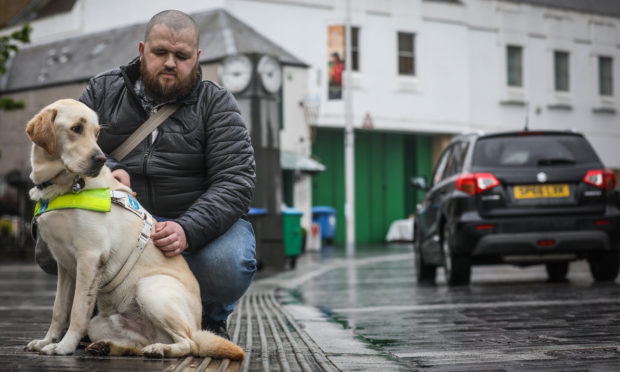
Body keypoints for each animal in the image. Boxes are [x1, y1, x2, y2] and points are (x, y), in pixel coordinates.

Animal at [24, 99, 243, 360]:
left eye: (96, 133)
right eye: (76, 128)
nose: (100, 159)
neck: (64, 185)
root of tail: (198, 325)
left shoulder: (90, 257)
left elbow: (77, 310)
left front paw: (64, 346)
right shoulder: (65, 266)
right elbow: (59, 309)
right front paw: (47, 340)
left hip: (150, 289)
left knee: (189, 344)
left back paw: (160, 349)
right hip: (100, 323)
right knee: (138, 345)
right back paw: (108, 346)